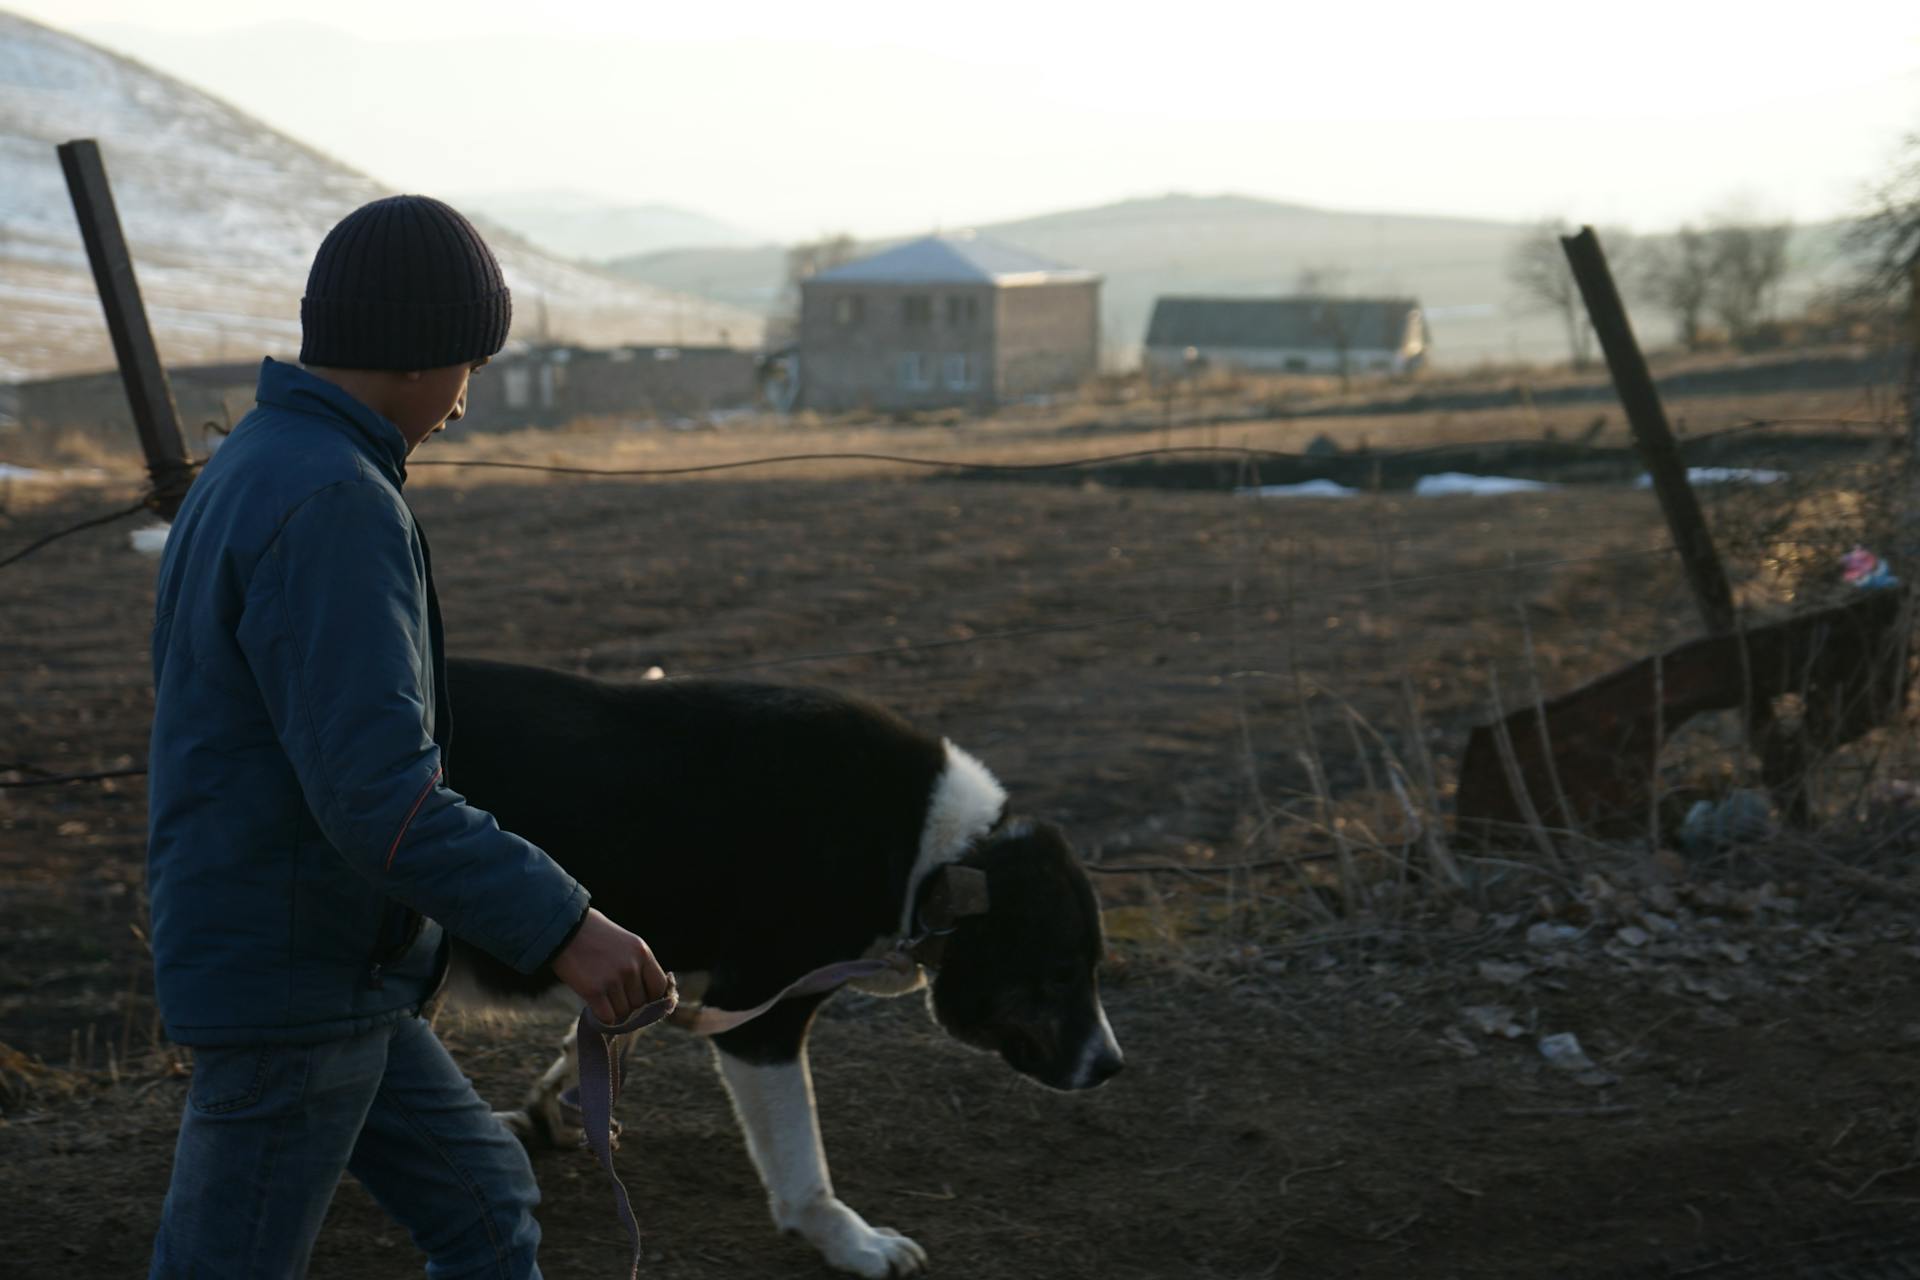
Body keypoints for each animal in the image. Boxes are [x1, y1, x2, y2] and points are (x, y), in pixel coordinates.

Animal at [437, 660, 1121, 1280]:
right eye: (1061, 973)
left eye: (1093, 968)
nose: (1113, 1066)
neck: (930, 854)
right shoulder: (761, 1020)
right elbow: (802, 1159)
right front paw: (852, 1243)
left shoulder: (645, 973)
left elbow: (593, 1048)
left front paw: (552, 1108)